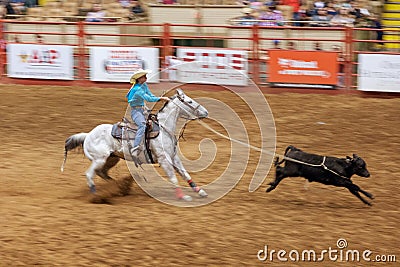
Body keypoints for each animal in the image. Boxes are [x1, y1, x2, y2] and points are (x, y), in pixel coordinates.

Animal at [61, 89, 209, 202]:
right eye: (189, 102)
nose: (206, 112)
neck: (163, 129)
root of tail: (88, 135)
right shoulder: (164, 159)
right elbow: (173, 178)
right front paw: (183, 197)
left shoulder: (174, 157)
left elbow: (185, 174)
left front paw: (200, 191)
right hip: (99, 159)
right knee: (89, 174)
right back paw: (96, 196)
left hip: (111, 158)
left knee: (101, 172)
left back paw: (117, 186)